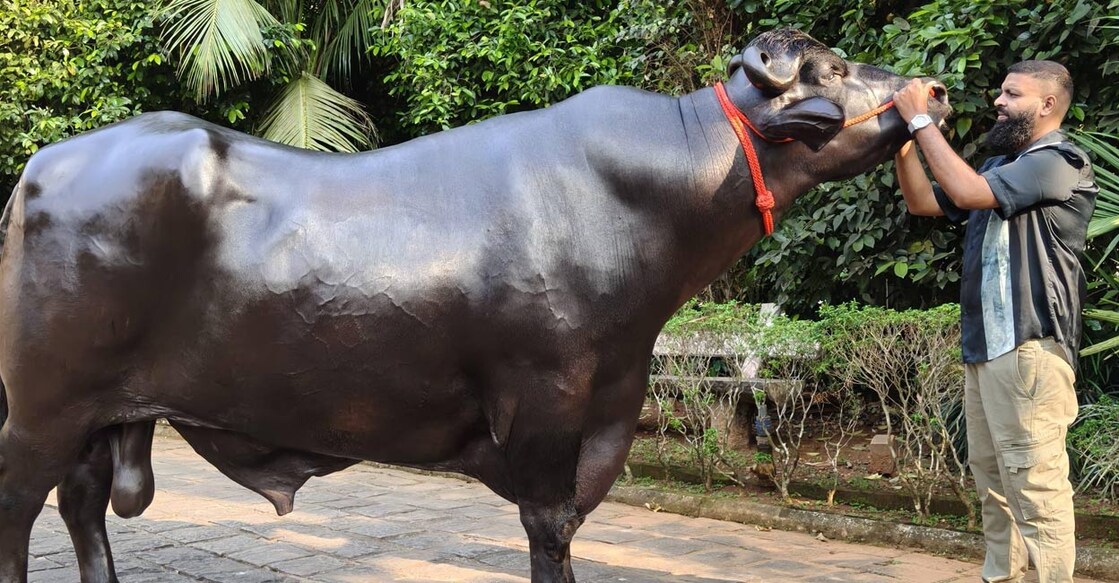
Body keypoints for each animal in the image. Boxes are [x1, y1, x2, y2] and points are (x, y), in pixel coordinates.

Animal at [0, 29, 949, 582]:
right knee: (21, 503)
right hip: (42, 407)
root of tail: (44, 164)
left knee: (82, 504)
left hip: (98, 414)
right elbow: (549, 527)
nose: (933, 91)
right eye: (831, 69)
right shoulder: (548, 400)